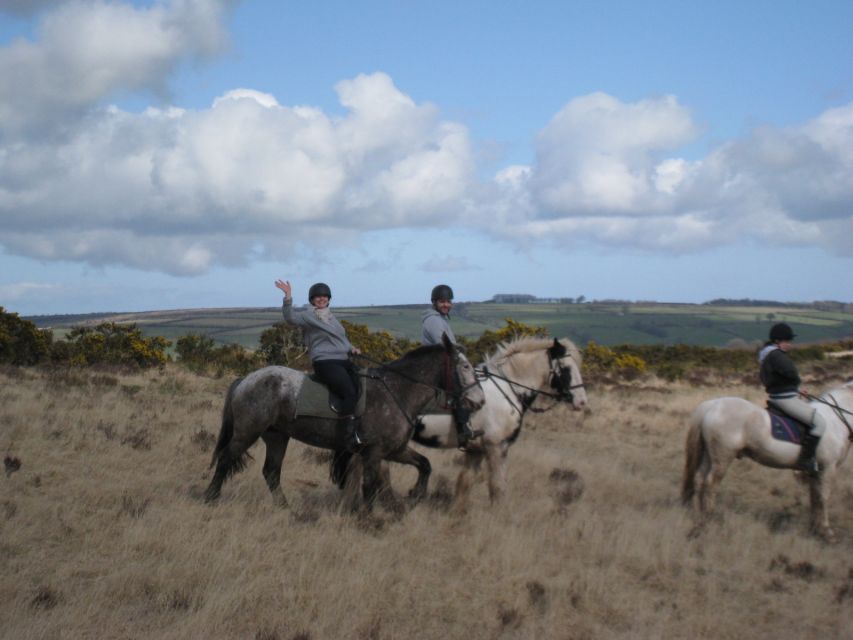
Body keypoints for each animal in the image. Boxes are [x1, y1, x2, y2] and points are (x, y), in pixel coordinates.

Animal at [412, 336, 584, 510]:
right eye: (565, 367)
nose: (581, 401)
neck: (507, 389)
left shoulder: (476, 450)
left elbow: (465, 482)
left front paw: (457, 513)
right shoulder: (497, 446)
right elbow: (497, 487)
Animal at [684, 380, 852, 540]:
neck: (835, 419)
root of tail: (712, 405)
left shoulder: (815, 472)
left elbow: (814, 497)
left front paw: (814, 529)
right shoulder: (828, 468)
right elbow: (823, 497)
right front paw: (826, 532)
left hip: (709, 455)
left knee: (699, 479)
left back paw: (697, 514)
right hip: (722, 457)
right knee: (711, 483)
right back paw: (709, 517)